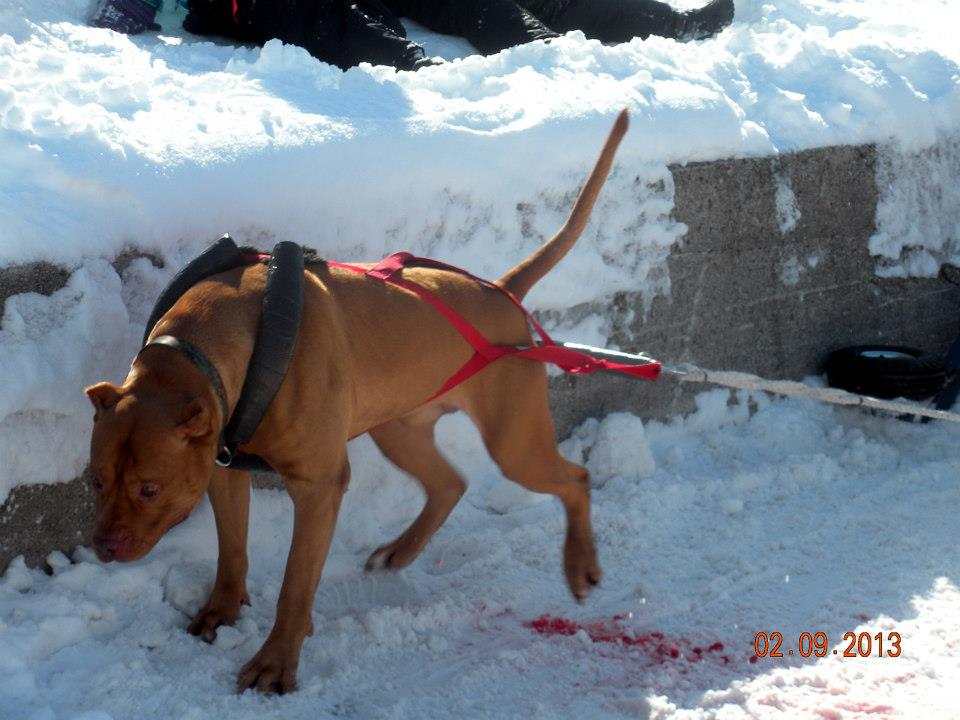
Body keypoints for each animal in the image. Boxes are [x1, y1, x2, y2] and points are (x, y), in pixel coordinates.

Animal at [84, 111, 632, 692]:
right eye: (96, 481)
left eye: (149, 488)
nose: (104, 547)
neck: (208, 349)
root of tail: (500, 292)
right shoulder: (222, 470)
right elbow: (232, 550)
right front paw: (223, 609)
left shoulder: (319, 486)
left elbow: (295, 586)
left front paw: (276, 662)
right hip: (399, 429)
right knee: (450, 483)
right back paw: (402, 550)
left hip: (514, 443)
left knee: (574, 479)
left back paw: (579, 564)